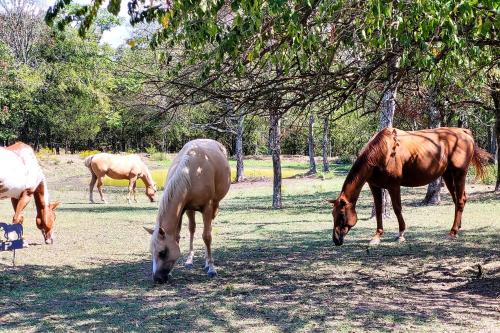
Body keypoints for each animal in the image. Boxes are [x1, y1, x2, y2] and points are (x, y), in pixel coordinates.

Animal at [145, 139, 230, 282]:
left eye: (162, 252)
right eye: (151, 252)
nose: (157, 279)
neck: (191, 171)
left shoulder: (207, 207)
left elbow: (207, 236)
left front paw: (211, 268)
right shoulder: (183, 208)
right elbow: (179, 236)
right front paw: (173, 271)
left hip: (214, 206)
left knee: (209, 229)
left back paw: (207, 262)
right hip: (191, 210)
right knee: (192, 229)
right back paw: (190, 260)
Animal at [330, 127, 490, 246]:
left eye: (342, 215)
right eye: (333, 214)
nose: (336, 240)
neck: (383, 151)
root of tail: (464, 132)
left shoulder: (394, 186)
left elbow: (397, 209)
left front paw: (401, 234)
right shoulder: (375, 186)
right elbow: (379, 209)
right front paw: (377, 236)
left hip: (459, 174)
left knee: (461, 200)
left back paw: (453, 231)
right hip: (448, 175)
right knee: (458, 200)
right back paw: (457, 228)